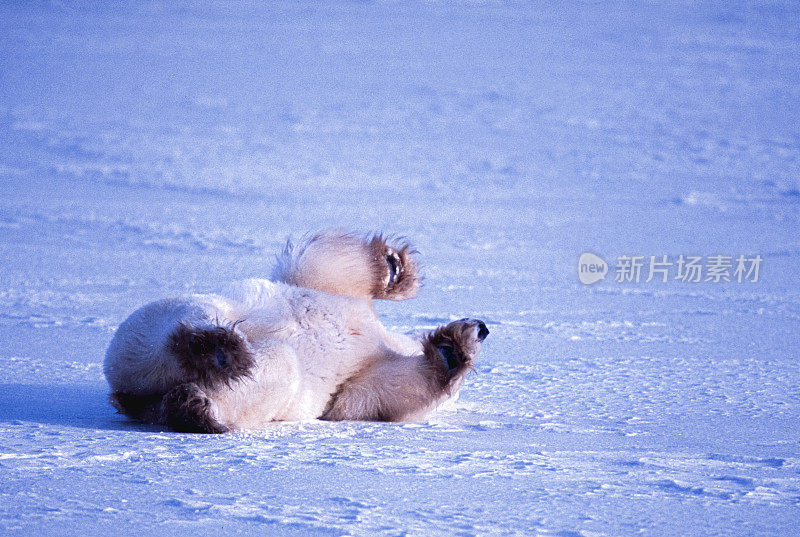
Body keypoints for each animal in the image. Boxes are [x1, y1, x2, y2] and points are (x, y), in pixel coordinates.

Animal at [101, 230, 488, 432]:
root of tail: (134, 397)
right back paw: (218, 348)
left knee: (275, 373)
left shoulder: (356, 381)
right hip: (160, 318)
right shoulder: (333, 290)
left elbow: (374, 395)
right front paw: (394, 267)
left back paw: (195, 400)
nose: (483, 327)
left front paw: (452, 350)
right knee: (191, 317)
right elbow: (331, 264)